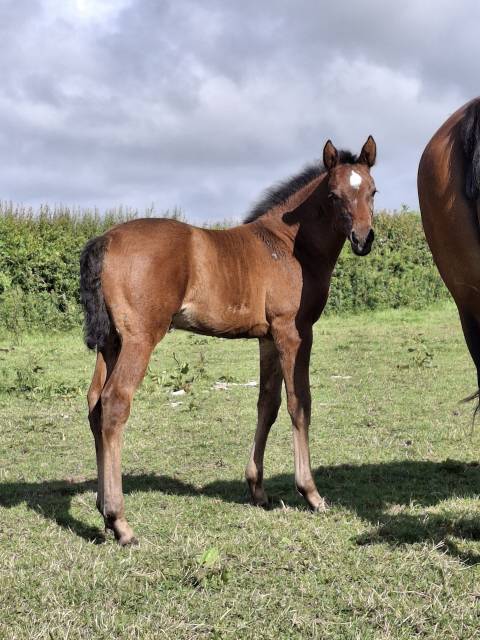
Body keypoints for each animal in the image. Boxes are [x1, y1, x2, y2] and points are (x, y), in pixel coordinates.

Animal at [80, 136, 377, 545]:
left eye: (373, 191)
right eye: (333, 195)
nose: (363, 240)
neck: (287, 246)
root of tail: (105, 239)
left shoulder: (267, 337)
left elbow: (267, 404)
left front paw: (258, 490)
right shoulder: (294, 332)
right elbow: (299, 404)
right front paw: (311, 493)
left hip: (111, 342)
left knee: (94, 402)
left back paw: (103, 514)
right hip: (140, 338)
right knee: (114, 403)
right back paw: (120, 521)